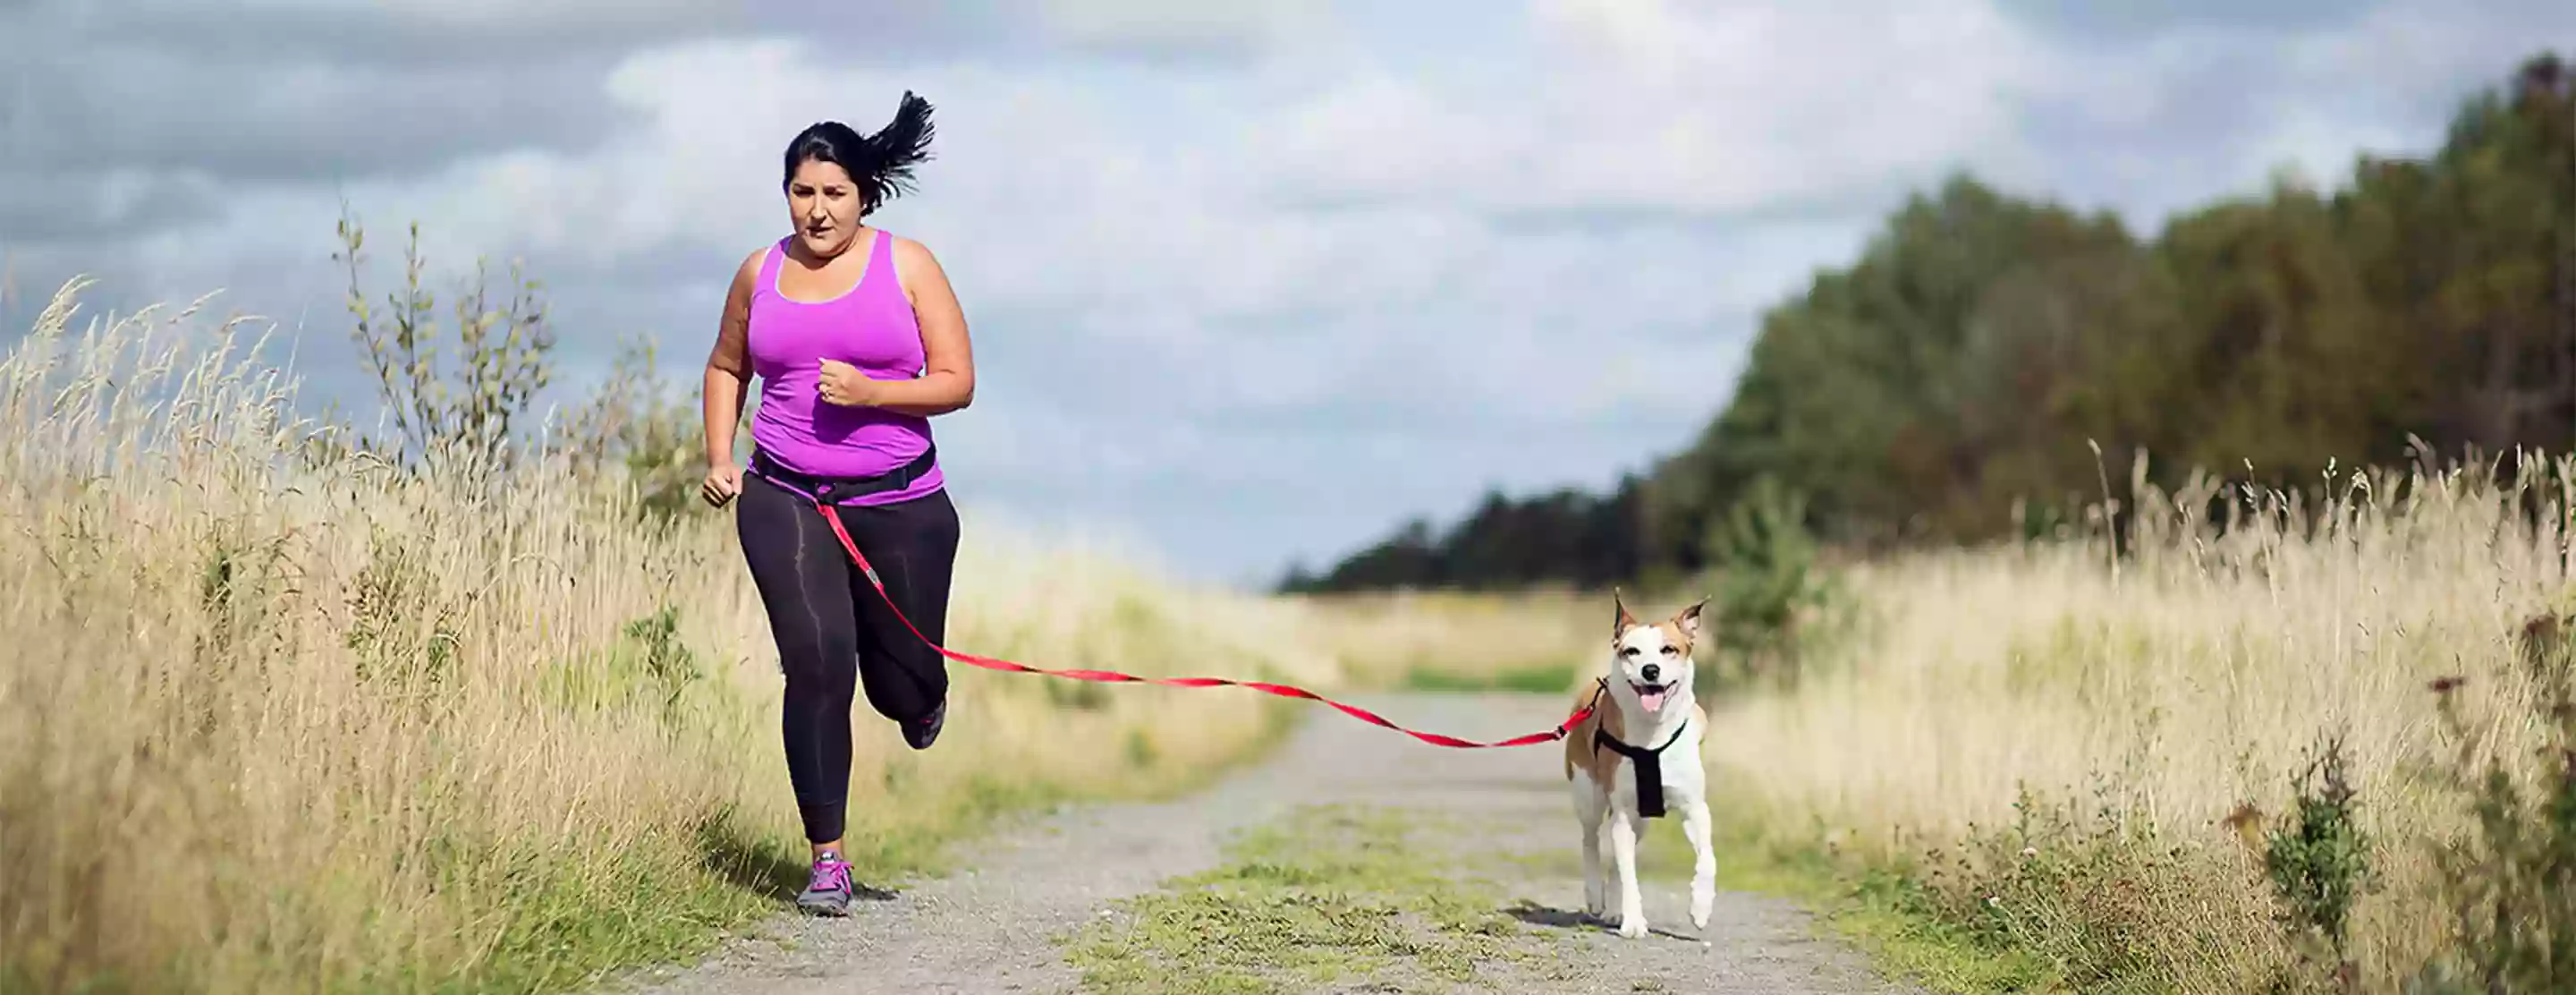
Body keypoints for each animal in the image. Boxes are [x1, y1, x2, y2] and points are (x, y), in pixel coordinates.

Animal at [1566, 590, 1710, 938]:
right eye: (1631, 651)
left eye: (1669, 649)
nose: (1650, 670)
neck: (1652, 733)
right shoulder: (1620, 808)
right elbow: (1628, 872)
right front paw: (1633, 922)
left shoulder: (1695, 807)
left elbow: (1707, 859)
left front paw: (1701, 907)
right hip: (1588, 792)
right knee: (1591, 838)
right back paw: (1597, 897)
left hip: (1642, 817)